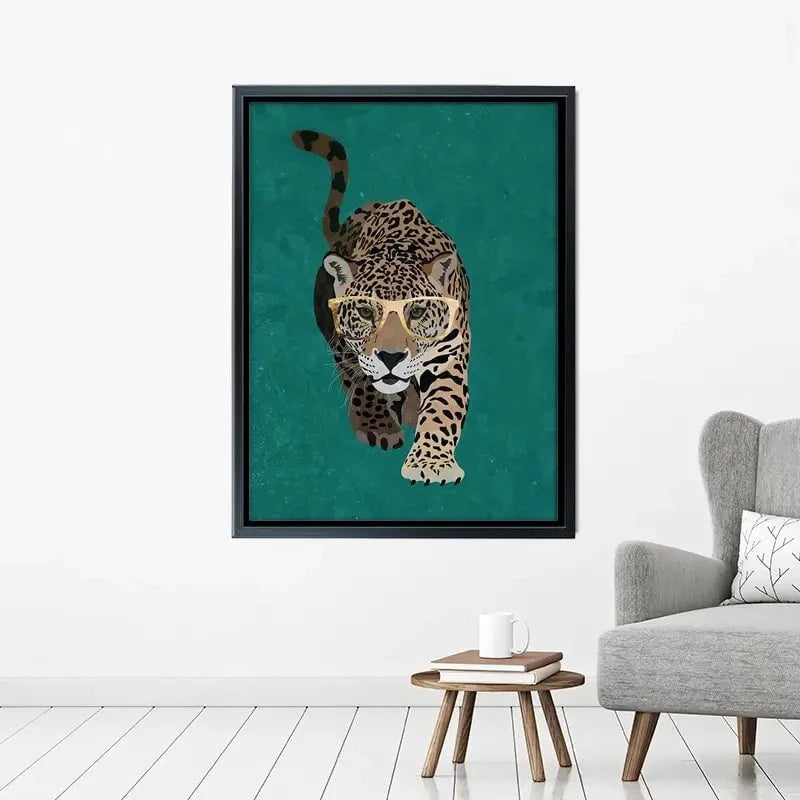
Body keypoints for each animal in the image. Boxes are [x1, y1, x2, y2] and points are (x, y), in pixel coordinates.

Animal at [292, 129, 471, 485]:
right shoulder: (348, 347)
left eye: (416, 312)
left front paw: (431, 464)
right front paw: (378, 426)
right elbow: (362, 382)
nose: (390, 357)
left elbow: (443, 406)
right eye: (365, 312)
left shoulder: (449, 355)